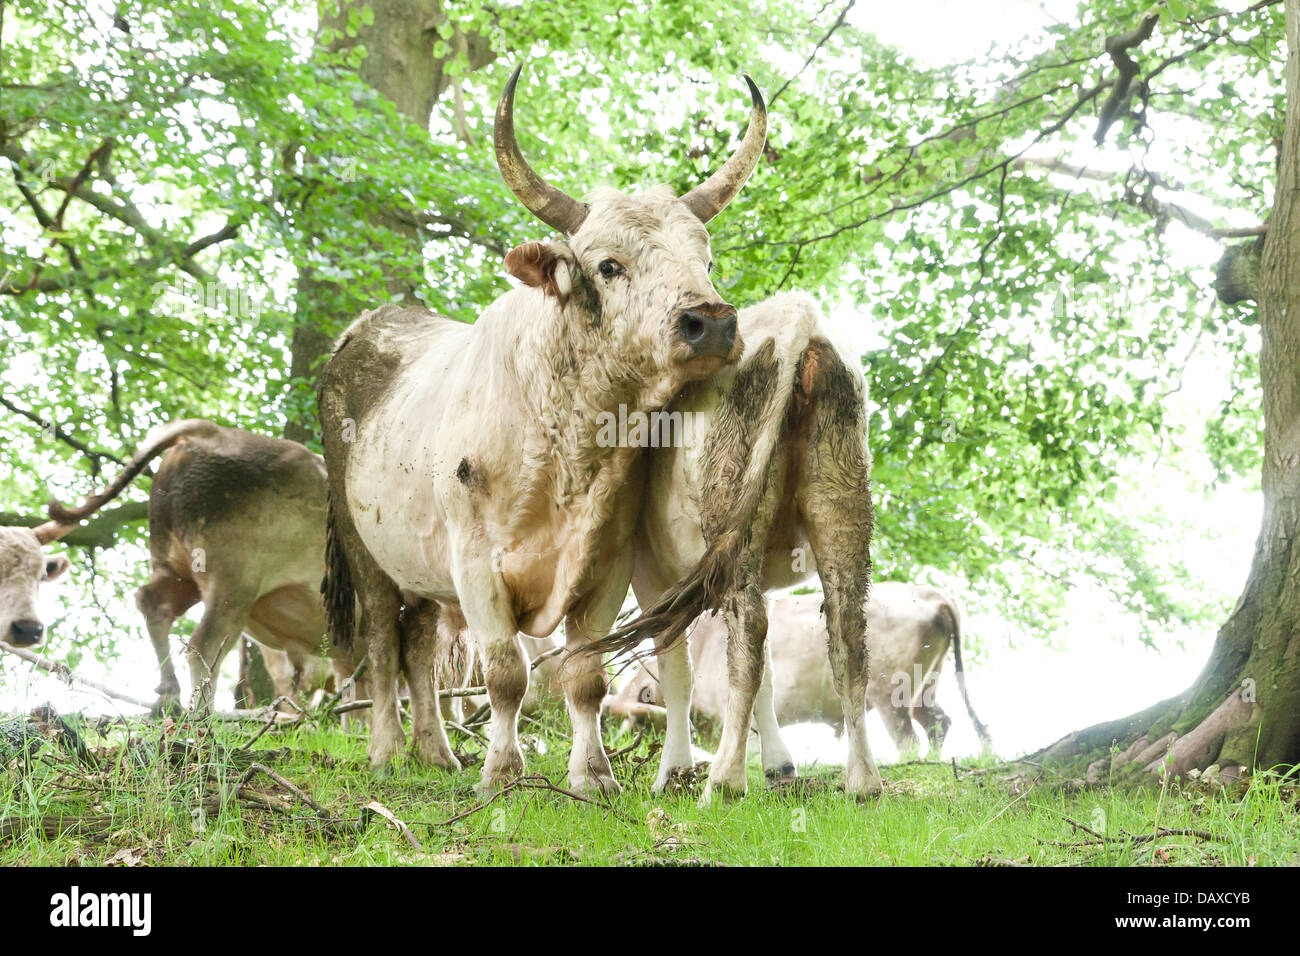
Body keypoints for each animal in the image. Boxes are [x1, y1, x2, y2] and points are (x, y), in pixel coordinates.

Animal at [47, 419, 358, 711]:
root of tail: (209, 432)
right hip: (235, 576)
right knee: (205, 645)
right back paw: (202, 717)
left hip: (176, 566)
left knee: (153, 603)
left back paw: (168, 696)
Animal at [318, 64, 766, 796]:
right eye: (609, 265)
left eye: (704, 259)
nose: (712, 322)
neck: (567, 450)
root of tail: (364, 331)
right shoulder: (476, 564)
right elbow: (506, 674)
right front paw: (502, 771)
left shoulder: (605, 568)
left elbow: (584, 677)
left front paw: (594, 776)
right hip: (366, 549)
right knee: (384, 640)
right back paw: (387, 751)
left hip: (421, 562)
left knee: (419, 643)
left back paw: (436, 753)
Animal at [593, 292, 883, 801]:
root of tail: (796, 314)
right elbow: (766, 676)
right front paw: (779, 765)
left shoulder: (650, 573)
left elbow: (677, 672)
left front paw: (672, 773)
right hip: (840, 496)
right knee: (847, 636)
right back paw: (863, 782)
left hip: (730, 495)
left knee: (746, 639)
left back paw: (723, 781)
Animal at [608, 583, 993, 759]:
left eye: (634, 723)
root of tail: (931, 594)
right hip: (925, 687)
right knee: (939, 722)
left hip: (890, 694)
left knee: (907, 737)